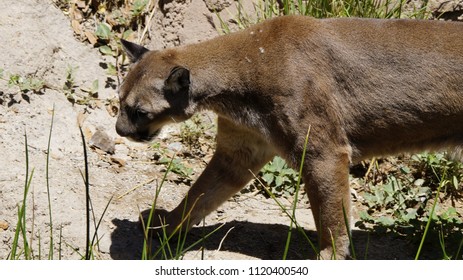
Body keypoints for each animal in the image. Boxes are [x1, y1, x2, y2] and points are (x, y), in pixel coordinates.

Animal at [117, 15, 463, 260]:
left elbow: (330, 213)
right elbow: (200, 194)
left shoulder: (324, 153)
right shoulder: (238, 152)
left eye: (139, 111)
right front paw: (168, 224)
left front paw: (330, 256)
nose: (120, 130)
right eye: (119, 101)